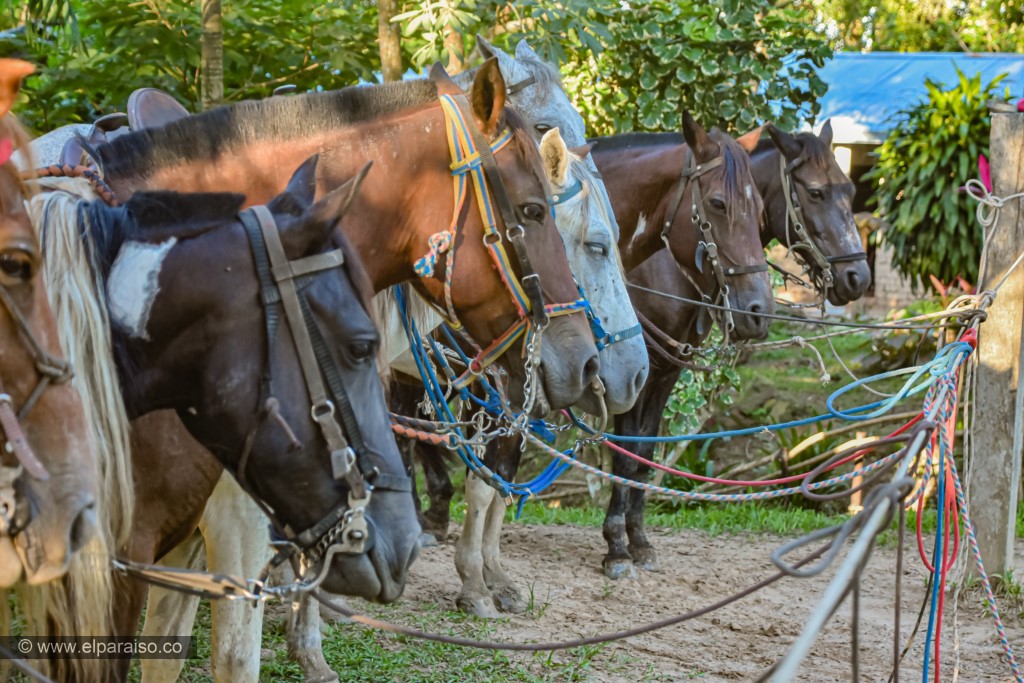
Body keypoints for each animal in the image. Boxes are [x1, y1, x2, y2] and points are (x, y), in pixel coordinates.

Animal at [590, 121, 871, 580]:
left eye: (848, 190)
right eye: (815, 193)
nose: (858, 277)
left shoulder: (668, 369)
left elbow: (646, 452)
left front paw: (639, 541)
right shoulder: (635, 371)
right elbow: (626, 453)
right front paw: (616, 546)